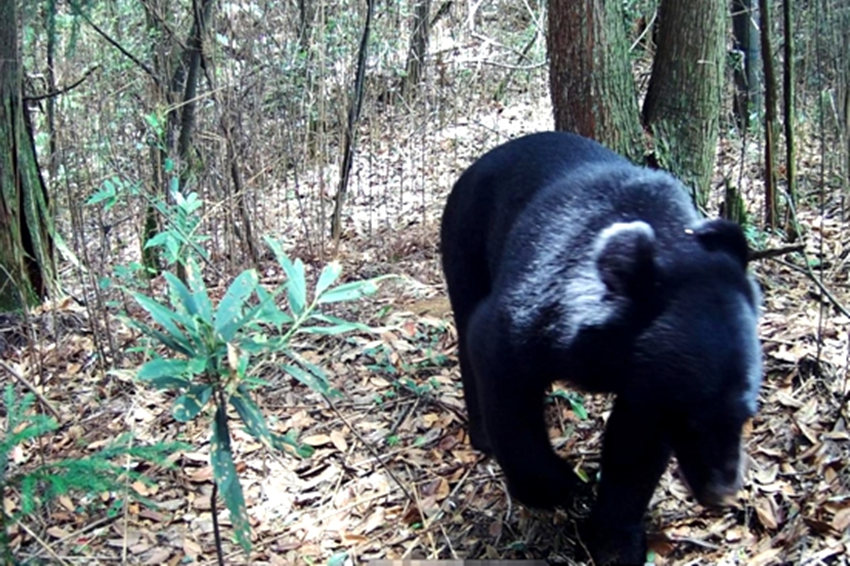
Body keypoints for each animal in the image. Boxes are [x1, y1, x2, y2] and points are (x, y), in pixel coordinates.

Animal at [440, 132, 760, 564]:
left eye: (746, 414)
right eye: (692, 418)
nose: (721, 492)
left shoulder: (647, 389)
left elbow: (634, 449)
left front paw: (614, 540)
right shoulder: (534, 313)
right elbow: (499, 366)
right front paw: (561, 487)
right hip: (464, 238)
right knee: (466, 324)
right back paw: (484, 437)